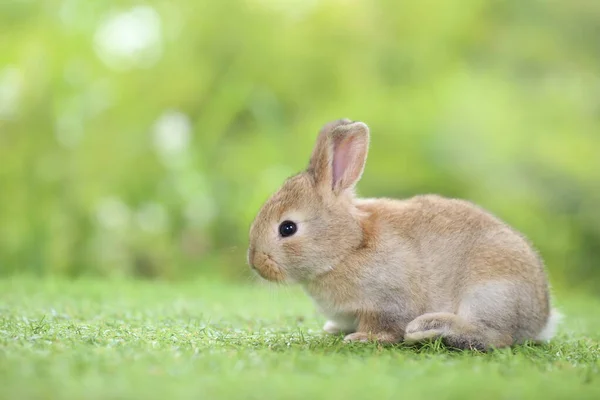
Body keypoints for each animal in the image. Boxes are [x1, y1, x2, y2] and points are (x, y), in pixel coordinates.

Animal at [246, 119, 560, 350]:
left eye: (287, 228)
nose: (255, 262)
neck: (347, 248)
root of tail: (542, 316)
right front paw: (335, 328)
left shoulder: (387, 303)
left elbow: (384, 329)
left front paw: (360, 338)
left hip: (490, 291)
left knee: (495, 337)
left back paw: (428, 328)